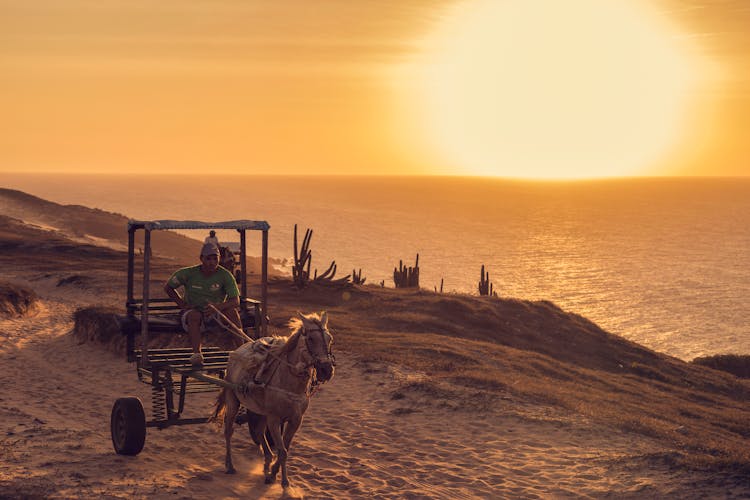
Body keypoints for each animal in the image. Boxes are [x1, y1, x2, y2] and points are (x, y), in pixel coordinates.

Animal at [213, 310, 340, 486]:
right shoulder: (274, 419)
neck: (289, 382)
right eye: (311, 339)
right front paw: (282, 480)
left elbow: (284, 448)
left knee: (259, 433)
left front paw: (273, 473)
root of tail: (235, 352)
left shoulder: (295, 420)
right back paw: (230, 465)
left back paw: (267, 461)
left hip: (260, 411)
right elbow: (282, 450)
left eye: (330, 339)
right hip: (233, 401)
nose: (326, 370)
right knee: (228, 431)